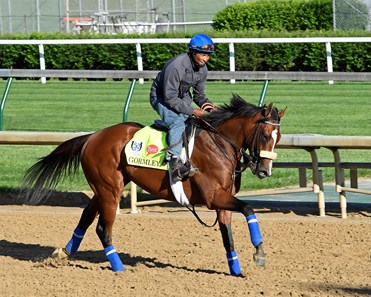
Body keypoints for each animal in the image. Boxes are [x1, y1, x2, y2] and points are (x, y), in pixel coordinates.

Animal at [21, 93, 286, 276]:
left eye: (279, 137)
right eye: (265, 135)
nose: (265, 170)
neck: (218, 143)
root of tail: (92, 137)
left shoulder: (222, 200)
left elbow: (227, 235)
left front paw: (236, 270)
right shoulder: (214, 196)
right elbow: (249, 208)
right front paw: (259, 253)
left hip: (104, 188)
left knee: (86, 217)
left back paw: (64, 252)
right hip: (110, 189)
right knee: (103, 228)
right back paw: (119, 267)